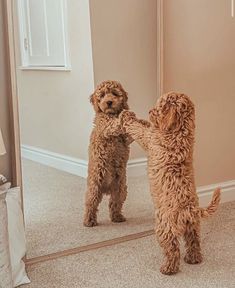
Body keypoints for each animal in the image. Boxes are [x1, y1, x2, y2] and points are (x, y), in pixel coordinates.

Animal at [82, 80, 132, 226]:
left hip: (121, 188)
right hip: (95, 186)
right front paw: (124, 116)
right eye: (103, 95)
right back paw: (89, 221)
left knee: (115, 203)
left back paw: (117, 217)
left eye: (114, 94)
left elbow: (127, 136)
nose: (109, 102)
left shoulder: (125, 140)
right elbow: (113, 124)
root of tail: (106, 189)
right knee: (90, 204)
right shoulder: (105, 126)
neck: (111, 113)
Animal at [120, 92, 221, 274]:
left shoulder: (150, 138)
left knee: (172, 248)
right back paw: (193, 259)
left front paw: (128, 116)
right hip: (192, 226)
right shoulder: (154, 133)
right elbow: (146, 126)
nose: (149, 111)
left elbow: (139, 129)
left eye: (159, 108)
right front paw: (139, 118)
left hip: (164, 227)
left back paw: (168, 268)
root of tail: (189, 209)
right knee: (194, 242)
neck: (180, 130)